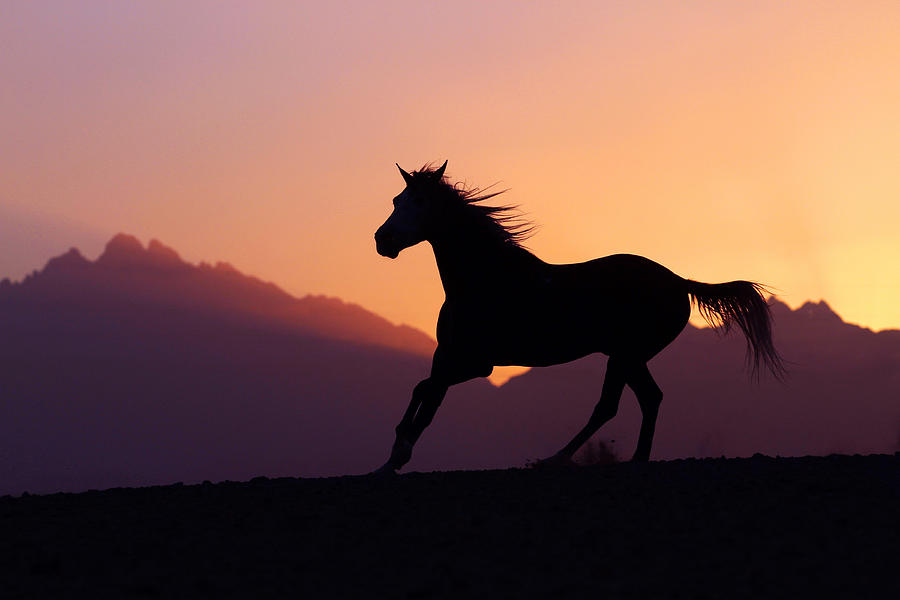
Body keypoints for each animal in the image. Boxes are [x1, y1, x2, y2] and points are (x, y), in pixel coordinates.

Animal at [370, 161, 780, 474]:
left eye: (421, 202)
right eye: (397, 200)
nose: (382, 241)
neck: (487, 281)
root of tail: (680, 281)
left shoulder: (475, 363)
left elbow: (426, 396)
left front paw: (397, 456)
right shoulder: (450, 356)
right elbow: (424, 393)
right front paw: (390, 460)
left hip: (626, 355)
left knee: (614, 404)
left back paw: (557, 458)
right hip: (630, 356)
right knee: (647, 398)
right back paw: (633, 458)